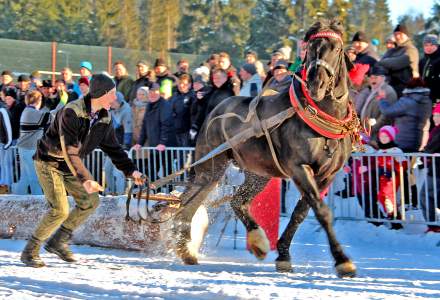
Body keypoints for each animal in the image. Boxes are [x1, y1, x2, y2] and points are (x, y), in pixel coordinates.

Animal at [171, 19, 358, 278]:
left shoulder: (327, 175)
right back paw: (185, 247)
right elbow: (321, 211)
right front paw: (342, 260)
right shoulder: (299, 168)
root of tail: (216, 108)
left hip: (257, 173)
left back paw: (256, 242)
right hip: (212, 167)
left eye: (337, 48)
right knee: (189, 203)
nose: (316, 84)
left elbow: (301, 213)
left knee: (237, 201)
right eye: (310, 48)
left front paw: (283, 254)